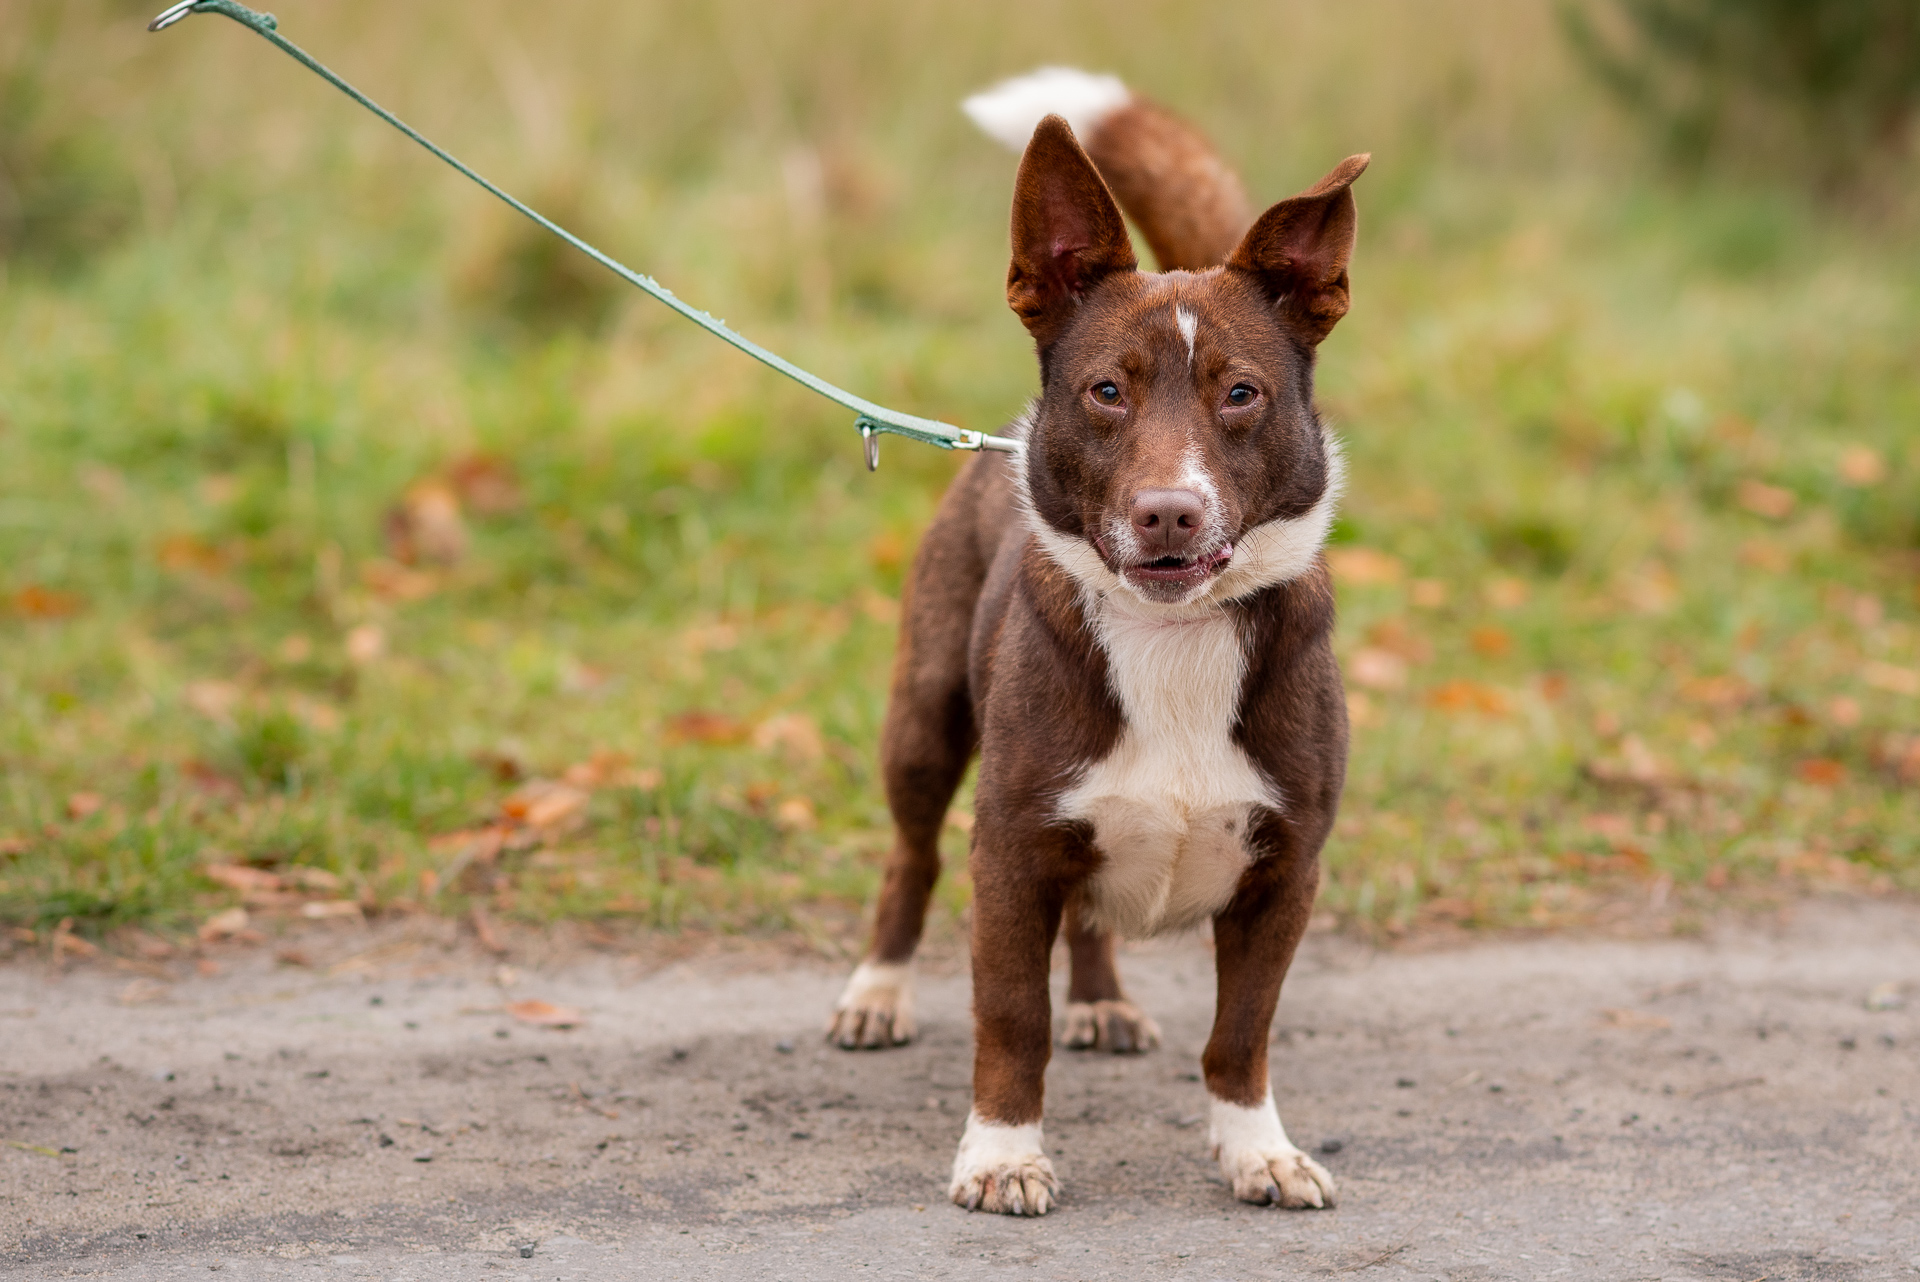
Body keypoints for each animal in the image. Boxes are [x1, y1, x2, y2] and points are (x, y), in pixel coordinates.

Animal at [825, 70, 1367, 1220]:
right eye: (1106, 391)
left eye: (1241, 393)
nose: (1168, 513)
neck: (1172, 635)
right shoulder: (1010, 851)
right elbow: (1010, 1020)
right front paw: (1003, 1155)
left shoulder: (1287, 867)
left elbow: (1242, 1031)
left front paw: (1258, 1150)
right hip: (925, 719)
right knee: (909, 855)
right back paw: (877, 990)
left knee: (1091, 912)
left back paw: (1101, 998)